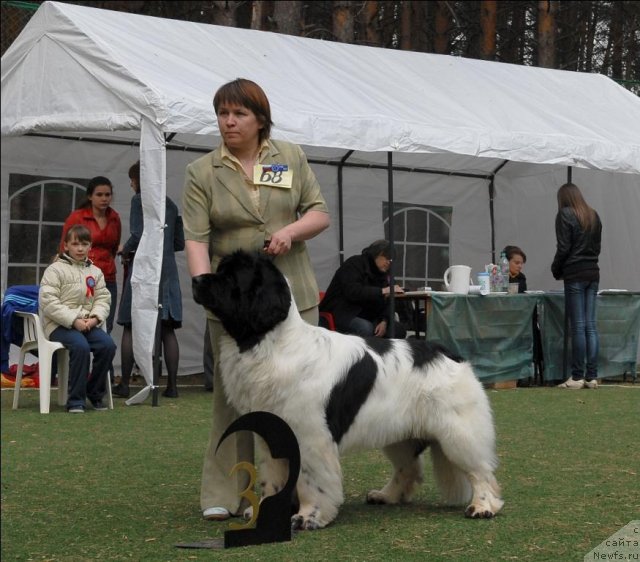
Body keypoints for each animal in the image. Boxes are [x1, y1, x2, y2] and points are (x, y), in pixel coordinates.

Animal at [192, 249, 502, 528]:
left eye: (230, 277)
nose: (196, 279)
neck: (270, 342)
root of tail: (449, 353)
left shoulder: (311, 436)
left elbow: (310, 480)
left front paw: (308, 517)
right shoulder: (271, 432)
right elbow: (272, 477)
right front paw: (263, 511)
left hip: (458, 431)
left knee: (480, 470)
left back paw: (483, 506)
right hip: (399, 433)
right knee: (409, 467)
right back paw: (386, 495)